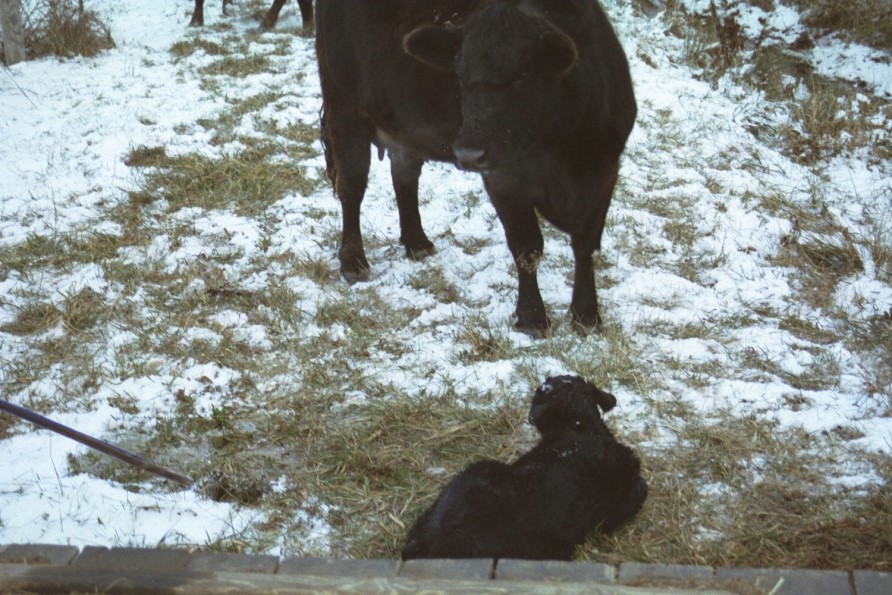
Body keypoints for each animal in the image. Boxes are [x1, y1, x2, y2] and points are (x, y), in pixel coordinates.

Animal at [318, 0, 636, 336]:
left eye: (523, 75)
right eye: (460, 74)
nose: (469, 153)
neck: (567, 148)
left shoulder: (605, 171)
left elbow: (586, 242)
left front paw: (586, 316)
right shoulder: (505, 178)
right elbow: (527, 246)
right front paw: (533, 317)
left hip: (402, 120)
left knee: (404, 173)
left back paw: (416, 242)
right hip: (344, 106)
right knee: (352, 186)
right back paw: (353, 261)